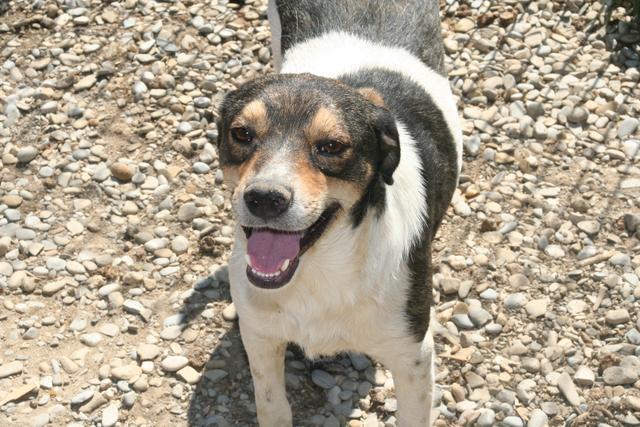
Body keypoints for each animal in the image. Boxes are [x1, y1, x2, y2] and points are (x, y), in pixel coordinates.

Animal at [215, 1, 460, 426]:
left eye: (331, 146)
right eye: (242, 133)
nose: (264, 198)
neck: (320, 272)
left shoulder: (413, 356)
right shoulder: (260, 335)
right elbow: (272, 406)